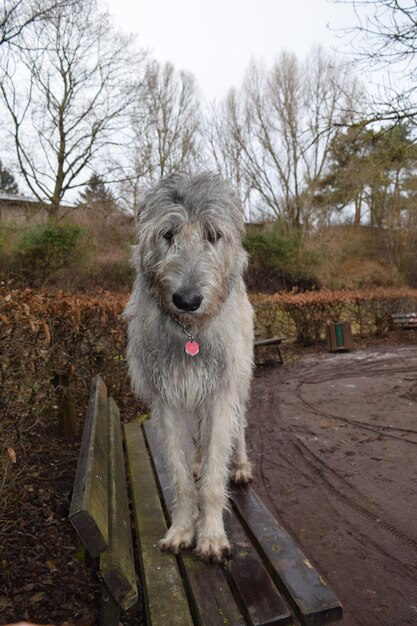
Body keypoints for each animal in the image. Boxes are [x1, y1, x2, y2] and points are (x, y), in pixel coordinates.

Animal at [123, 169, 254, 560]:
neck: (188, 332)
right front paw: (182, 529)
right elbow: (181, 477)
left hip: (240, 379)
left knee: (239, 428)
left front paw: (210, 535)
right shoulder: (167, 401)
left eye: (213, 235)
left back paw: (240, 465)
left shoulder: (221, 394)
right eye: (168, 234)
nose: (187, 300)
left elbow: (213, 477)